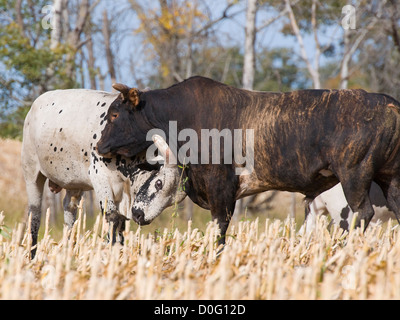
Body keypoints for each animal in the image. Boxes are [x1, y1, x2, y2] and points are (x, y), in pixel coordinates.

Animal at [97, 77, 400, 245]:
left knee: (363, 214)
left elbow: (219, 230)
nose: (100, 146)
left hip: (354, 176)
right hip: (391, 179)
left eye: (115, 115)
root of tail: (388, 103)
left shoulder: (221, 189)